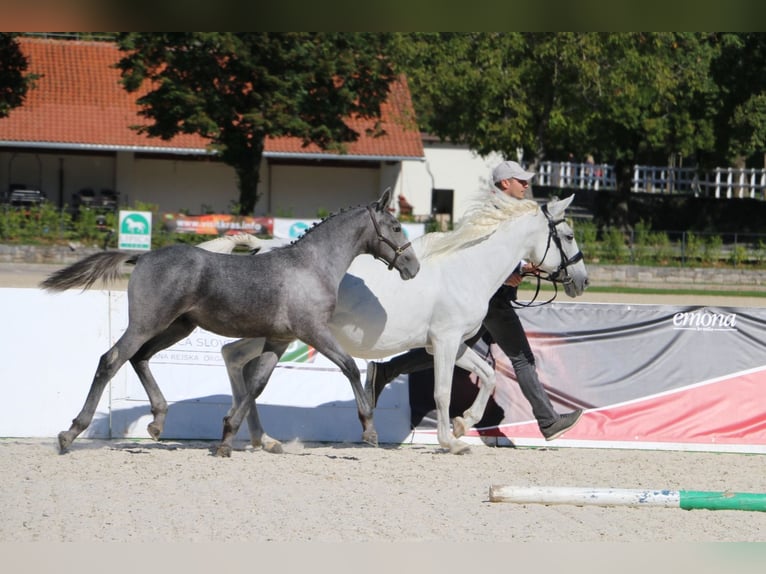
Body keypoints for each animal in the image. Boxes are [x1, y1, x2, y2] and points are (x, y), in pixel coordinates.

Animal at [40, 189, 420, 455]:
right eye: (396, 227)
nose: (413, 267)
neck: (310, 267)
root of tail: (143, 256)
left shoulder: (279, 339)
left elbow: (256, 383)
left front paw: (226, 438)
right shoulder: (312, 331)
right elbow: (350, 367)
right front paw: (369, 429)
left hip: (178, 326)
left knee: (140, 358)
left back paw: (158, 422)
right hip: (147, 322)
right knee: (112, 359)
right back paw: (70, 434)